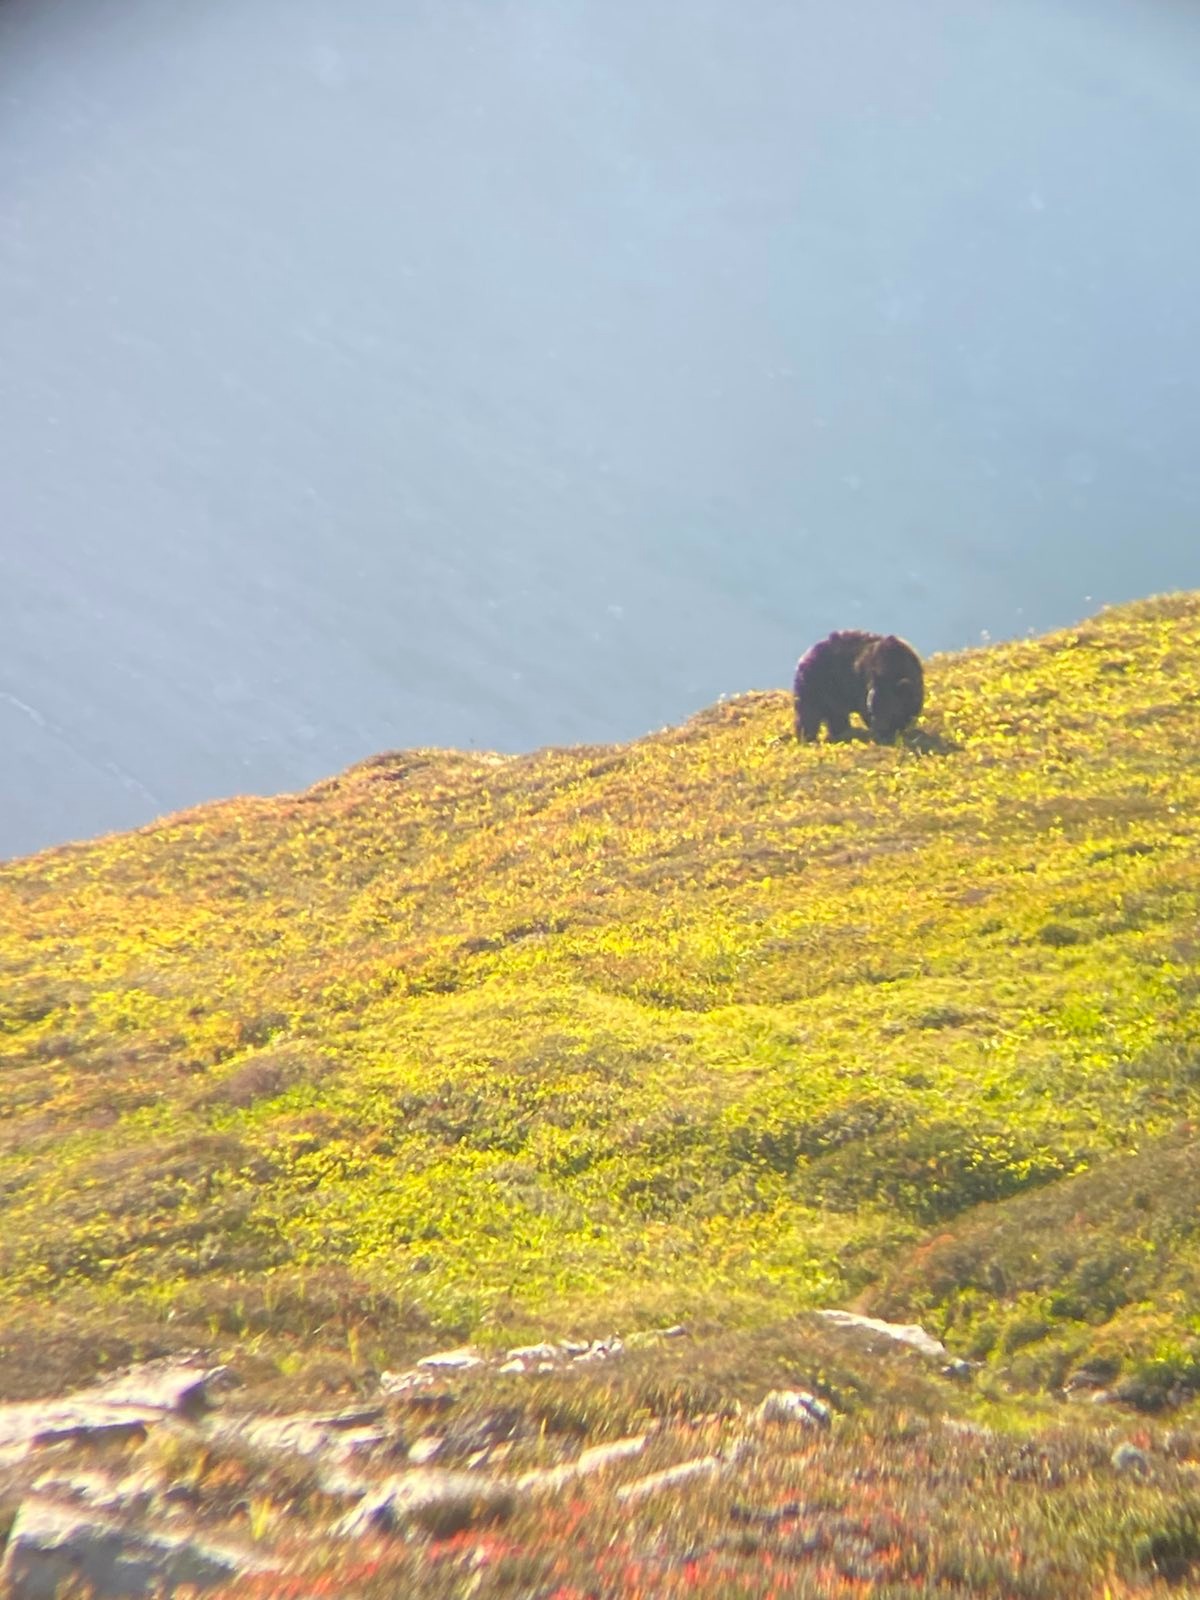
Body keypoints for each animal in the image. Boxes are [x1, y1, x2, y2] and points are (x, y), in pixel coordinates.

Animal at [793, 630, 924, 743]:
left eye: (890, 711)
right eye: (871, 710)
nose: (878, 730)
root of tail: (804, 657)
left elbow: (910, 710)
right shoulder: (863, 685)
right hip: (816, 686)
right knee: (810, 715)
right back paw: (808, 738)